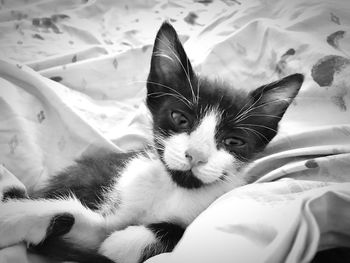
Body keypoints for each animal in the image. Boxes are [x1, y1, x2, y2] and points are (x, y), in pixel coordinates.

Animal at [0, 22, 304, 263]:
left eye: (233, 141)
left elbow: (175, 232)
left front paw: (125, 243)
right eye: (180, 119)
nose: (196, 155)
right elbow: (70, 215)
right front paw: (14, 217)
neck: (172, 189)